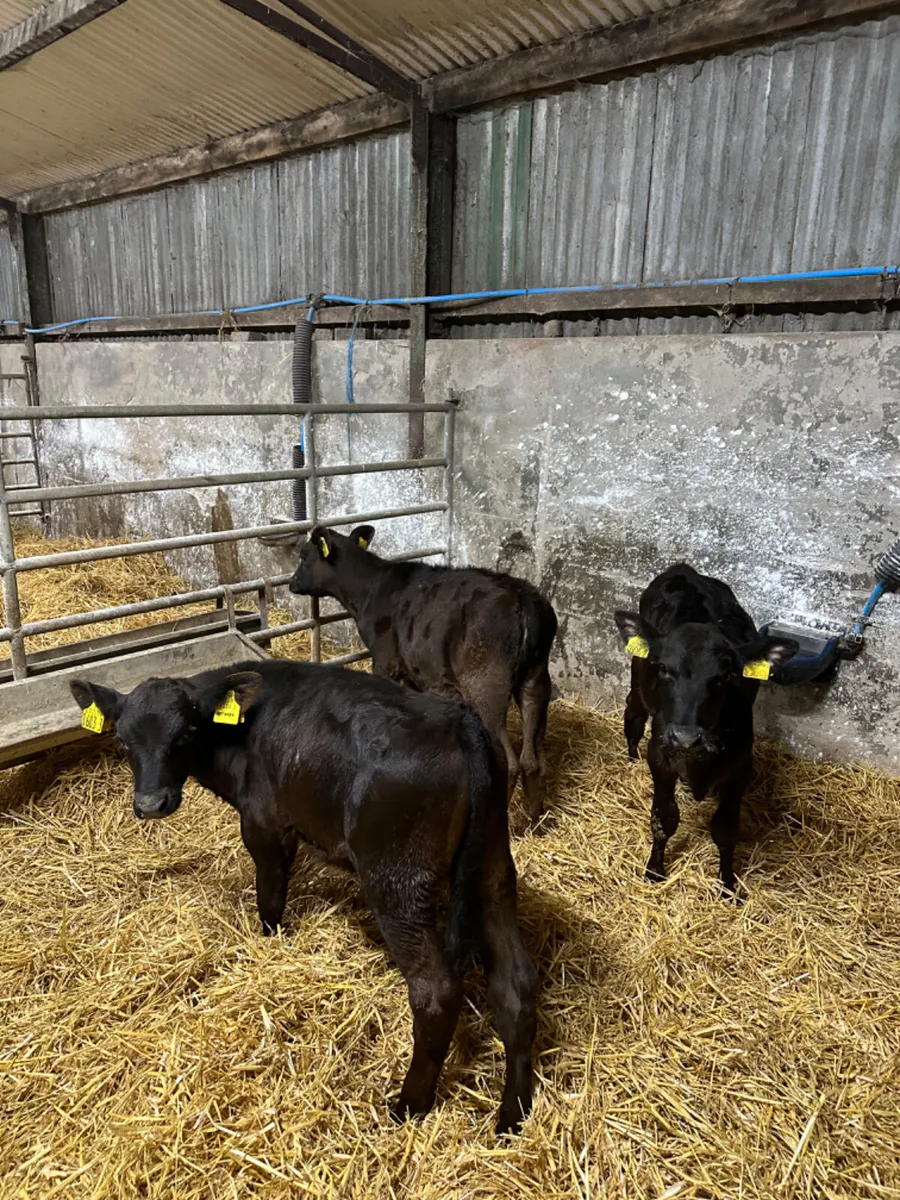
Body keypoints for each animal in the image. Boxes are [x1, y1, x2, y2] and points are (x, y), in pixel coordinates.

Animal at [70, 659, 537, 1135]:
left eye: (185, 733)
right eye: (122, 740)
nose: (150, 804)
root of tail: (458, 720)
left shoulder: (265, 825)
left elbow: (271, 896)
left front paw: (270, 941)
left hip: (398, 882)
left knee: (437, 992)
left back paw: (406, 1107)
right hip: (493, 869)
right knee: (516, 983)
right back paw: (512, 1117)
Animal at [288, 524, 558, 824]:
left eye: (303, 555)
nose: (291, 583)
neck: (369, 591)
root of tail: (521, 594)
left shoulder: (385, 660)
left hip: (487, 684)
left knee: (510, 762)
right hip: (536, 679)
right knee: (533, 760)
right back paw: (535, 821)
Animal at [614, 563, 798, 897]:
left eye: (725, 676)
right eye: (663, 668)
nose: (686, 737)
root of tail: (684, 569)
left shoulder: (741, 764)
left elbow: (725, 829)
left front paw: (727, 883)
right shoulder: (660, 754)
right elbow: (664, 818)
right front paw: (655, 869)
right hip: (637, 677)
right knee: (633, 715)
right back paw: (631, 758)